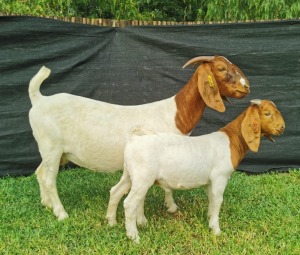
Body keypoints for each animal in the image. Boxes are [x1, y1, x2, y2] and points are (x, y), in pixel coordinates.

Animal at [28, 55, 250, 221]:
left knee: (40, 172)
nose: (246, 86)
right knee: (49, 179)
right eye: (221, 68)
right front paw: (159, 211)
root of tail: (39, 100)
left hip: (51, 151)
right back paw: (61, 213)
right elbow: (161, 187)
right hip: (52, 147)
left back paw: (46, 204)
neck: (174, 115)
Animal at [107, 99, 284, 243]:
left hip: (130, 174)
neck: (231, 141)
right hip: (143, 177)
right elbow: (218, 200)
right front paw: (216, 230)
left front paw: (210, 220)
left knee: (116, 191)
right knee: (129, 203)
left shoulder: (210, 181)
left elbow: (211, 199)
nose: (282, 128)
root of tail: (135, 139)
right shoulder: (220, 177)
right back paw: (134, 236)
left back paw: (111, 222)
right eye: (267, 113)